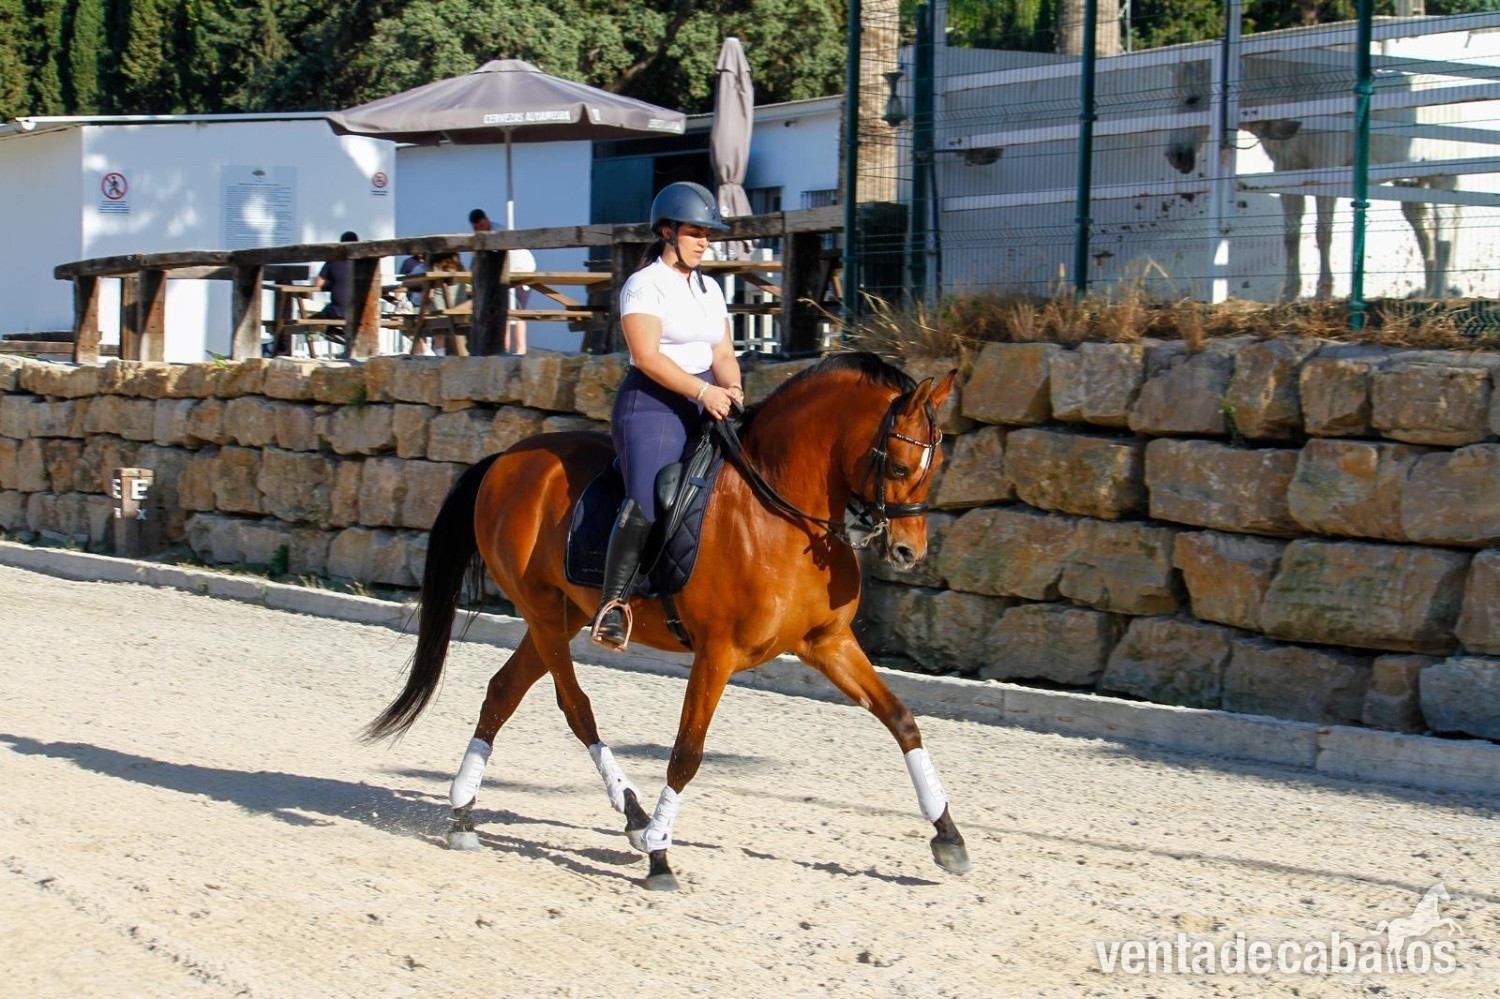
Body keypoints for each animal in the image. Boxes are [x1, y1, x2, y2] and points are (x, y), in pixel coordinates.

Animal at [365, 352, 968, 890]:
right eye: (898, 466)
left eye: (935, 467)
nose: (909, 552)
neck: (781, 515)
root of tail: (508, 458)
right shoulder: (717, 653)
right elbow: (685, 755)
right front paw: (660, 857)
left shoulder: (827, 642)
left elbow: (901, 720)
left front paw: (948, 836)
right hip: (543, 613)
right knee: (575, 705)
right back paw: (632, 818)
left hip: (560, 616)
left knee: (503, 692)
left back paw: (466, 813)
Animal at [1166, 57, 1460, 301]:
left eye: (1192, 100)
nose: (1175, 156)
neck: (1304, 101)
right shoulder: (1287, 175)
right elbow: (1291, 235)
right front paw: (1289, 294)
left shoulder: (1325, 175)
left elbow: (1323, 233)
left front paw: (1323, 291)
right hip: (1412, 183)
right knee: (1425, 230)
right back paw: (1430, 292)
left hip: (1443, 178)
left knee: (1445, 227)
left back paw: (1440, 292)